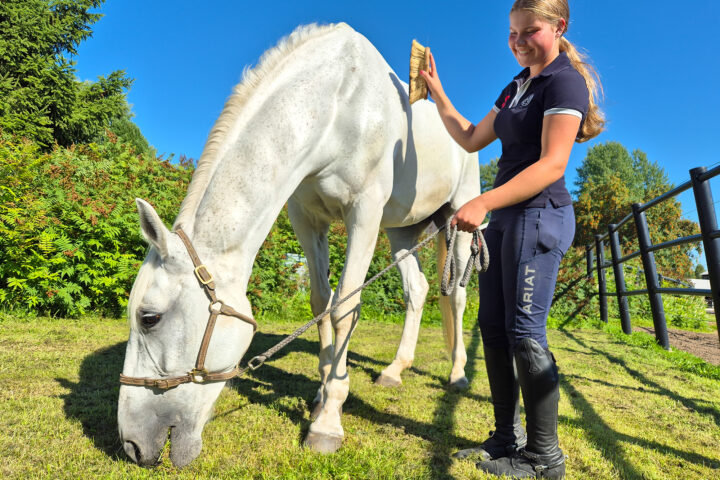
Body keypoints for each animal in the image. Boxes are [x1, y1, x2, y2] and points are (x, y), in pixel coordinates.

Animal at [118, 21, 478, 464]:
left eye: (149, 318)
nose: (131, 445)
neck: (338, 102)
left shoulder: (364, 213)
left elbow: (345, 308)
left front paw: (328, 423)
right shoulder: (307, 220)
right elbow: (321, 303)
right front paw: (322, 396)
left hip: (461, 216)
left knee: (456, 295)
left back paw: (458, 373)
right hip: (401, 232)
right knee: (419, 290)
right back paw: (394, 371)